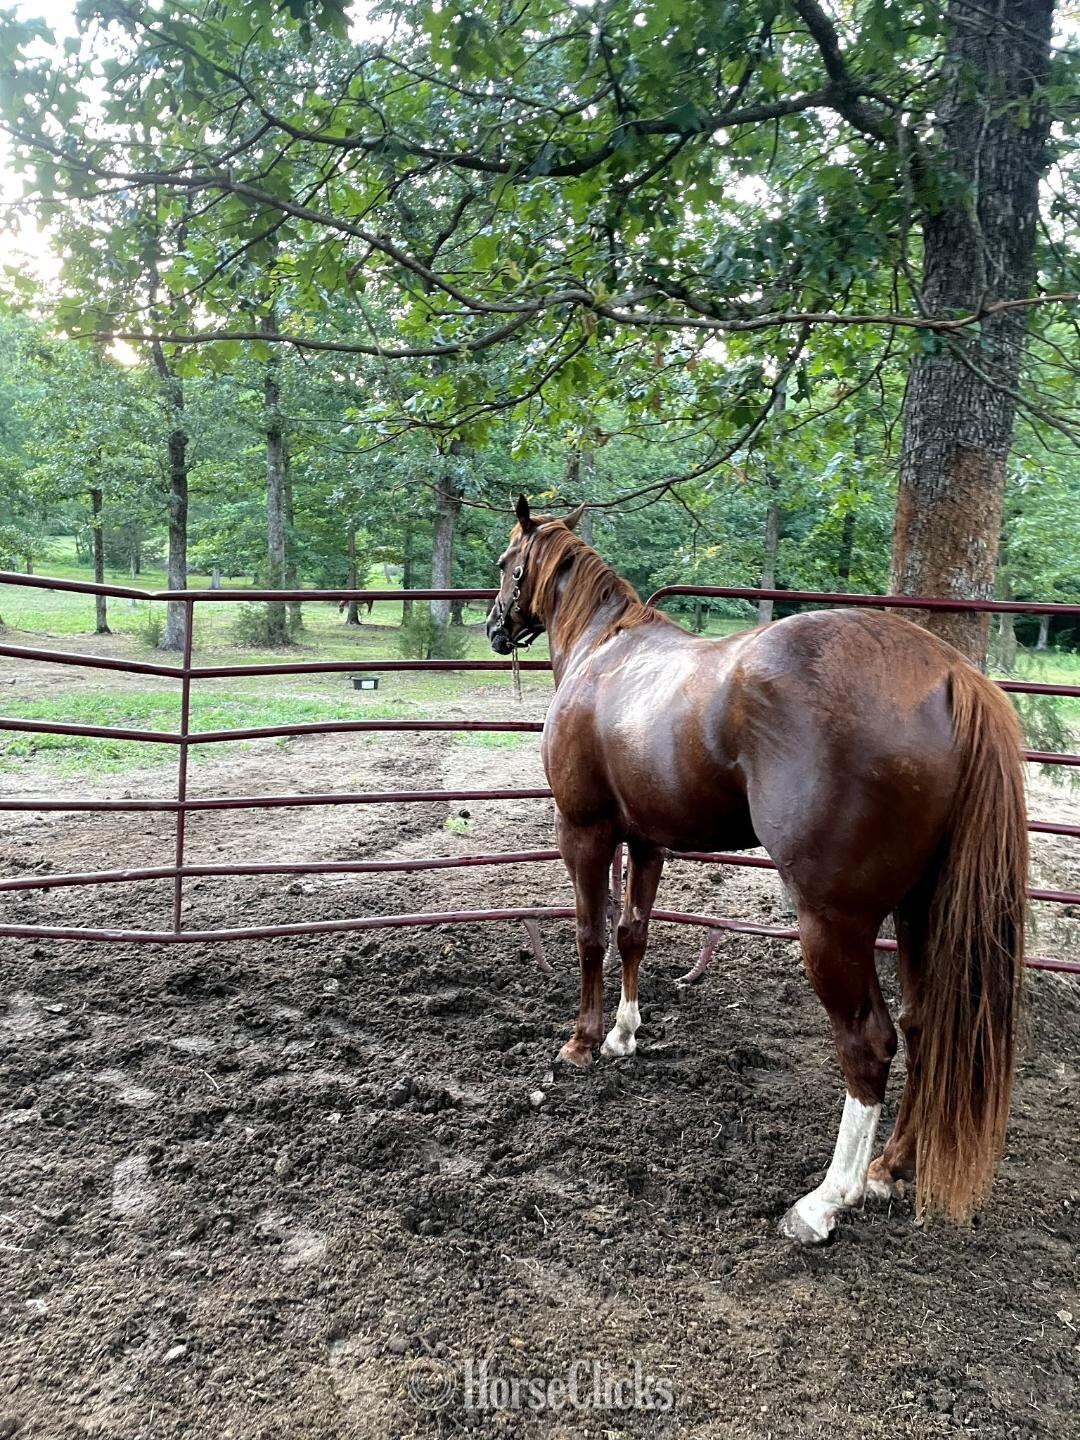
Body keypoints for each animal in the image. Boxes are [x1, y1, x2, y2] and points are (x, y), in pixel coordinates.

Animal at [486, 496, 1027, 1245]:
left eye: (506, 562)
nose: (494, 628)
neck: (606, 651)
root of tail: (952, 677)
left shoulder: (584, 832)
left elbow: (591, 936)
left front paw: (582, 1043)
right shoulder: (647, 840)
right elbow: (633, 934)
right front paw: (625, 1034)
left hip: (834, 923)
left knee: (870, 1044)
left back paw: (825, 1202)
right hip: (922, 909)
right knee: (924, 1026)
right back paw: (889, 1168)